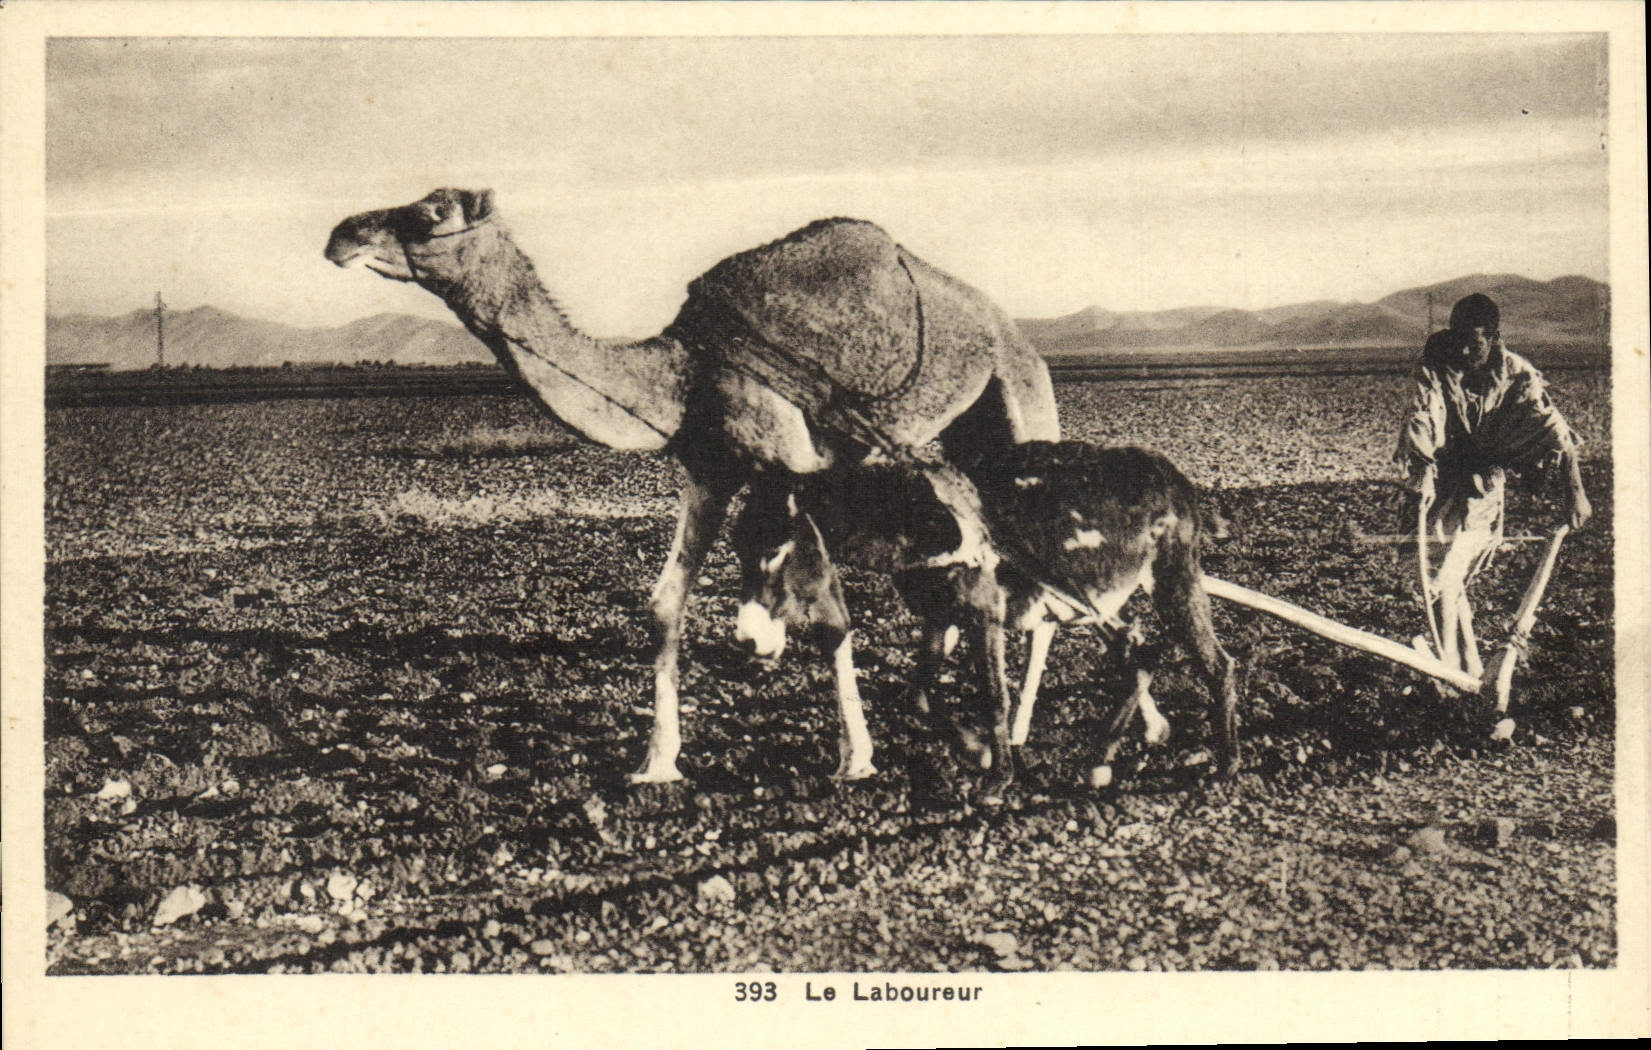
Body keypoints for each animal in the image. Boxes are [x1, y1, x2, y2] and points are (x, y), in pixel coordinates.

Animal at [325, 188, 1060, 783]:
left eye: (431, 213)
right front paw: (656, 762)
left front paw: (856, 759)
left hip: (1021, 397)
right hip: (963, 434)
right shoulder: (708, 473)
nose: (341, 235)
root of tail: (1008, 329)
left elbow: (830, 616)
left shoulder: (793, 465)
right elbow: (664, 606)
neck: (685, 378)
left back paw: (1018, 729)